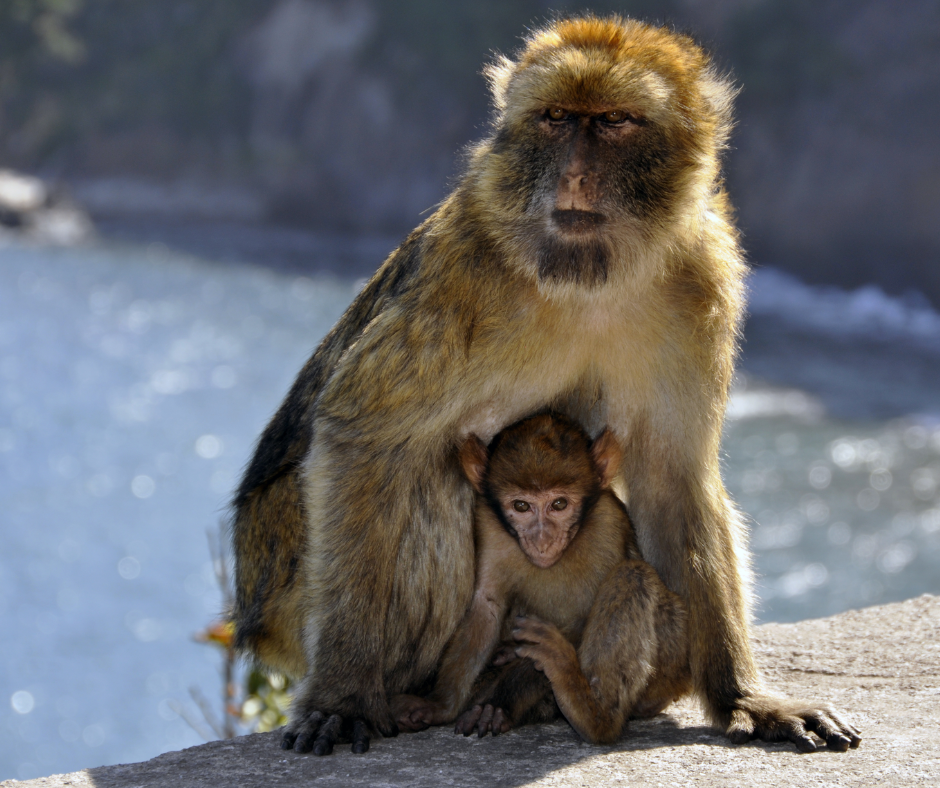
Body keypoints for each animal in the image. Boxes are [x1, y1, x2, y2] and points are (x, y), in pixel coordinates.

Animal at [390, 413, 692, 744]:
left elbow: (583, 618)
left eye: (559, 504)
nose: (542, 540)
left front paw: (500, 700)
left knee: (632, 575)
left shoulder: (608, 524)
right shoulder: (488, 524)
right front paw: (440, 706)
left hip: (670, 666)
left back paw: (592, 713)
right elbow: (486, 607)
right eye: (521, 506)